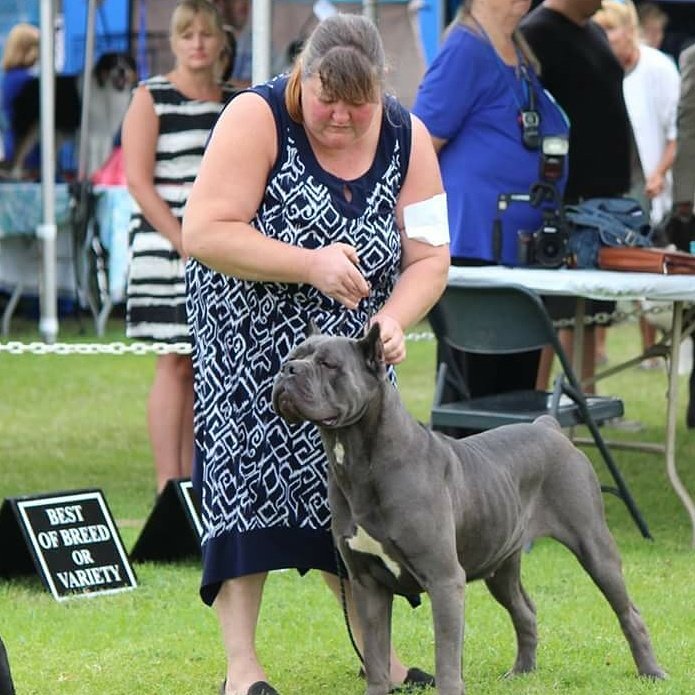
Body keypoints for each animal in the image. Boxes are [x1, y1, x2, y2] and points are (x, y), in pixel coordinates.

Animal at [3, 52, 137, 181]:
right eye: (112, 64)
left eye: (127, 64)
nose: (122, 69)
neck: (106, 91)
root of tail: (28, 85)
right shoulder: (91, 133)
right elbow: (93, 156)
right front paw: (93, 175)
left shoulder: (104, 132)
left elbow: (103, 154)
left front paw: (101, 173)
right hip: (29, 127)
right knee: (20, 149)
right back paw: (15, 174)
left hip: (55, 133)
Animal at [270, 326, 664, 695]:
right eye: (292, 355)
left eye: (328, 364)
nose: (287, 369)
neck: (358, 459)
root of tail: (549, 426)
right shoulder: (368, 584)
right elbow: (376, 659)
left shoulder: (445, 579)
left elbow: (446, 658)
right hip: (501, 565)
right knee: (525, 610)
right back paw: (522, 672)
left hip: (593, 546)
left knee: (629, 612)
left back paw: (651, 672)